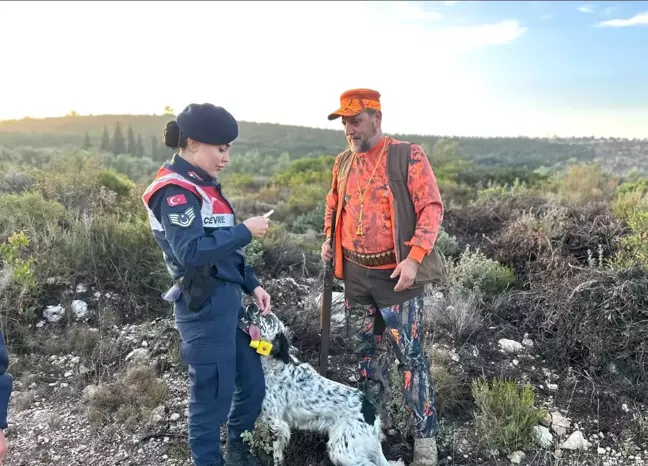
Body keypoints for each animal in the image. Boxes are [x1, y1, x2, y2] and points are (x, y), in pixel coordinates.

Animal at [239, 306, 388, 466]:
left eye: (266, 317)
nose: (252, 305)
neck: (273, 363)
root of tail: (371, 409)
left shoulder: (276, 422)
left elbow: (276, 454)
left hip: (341, 451)